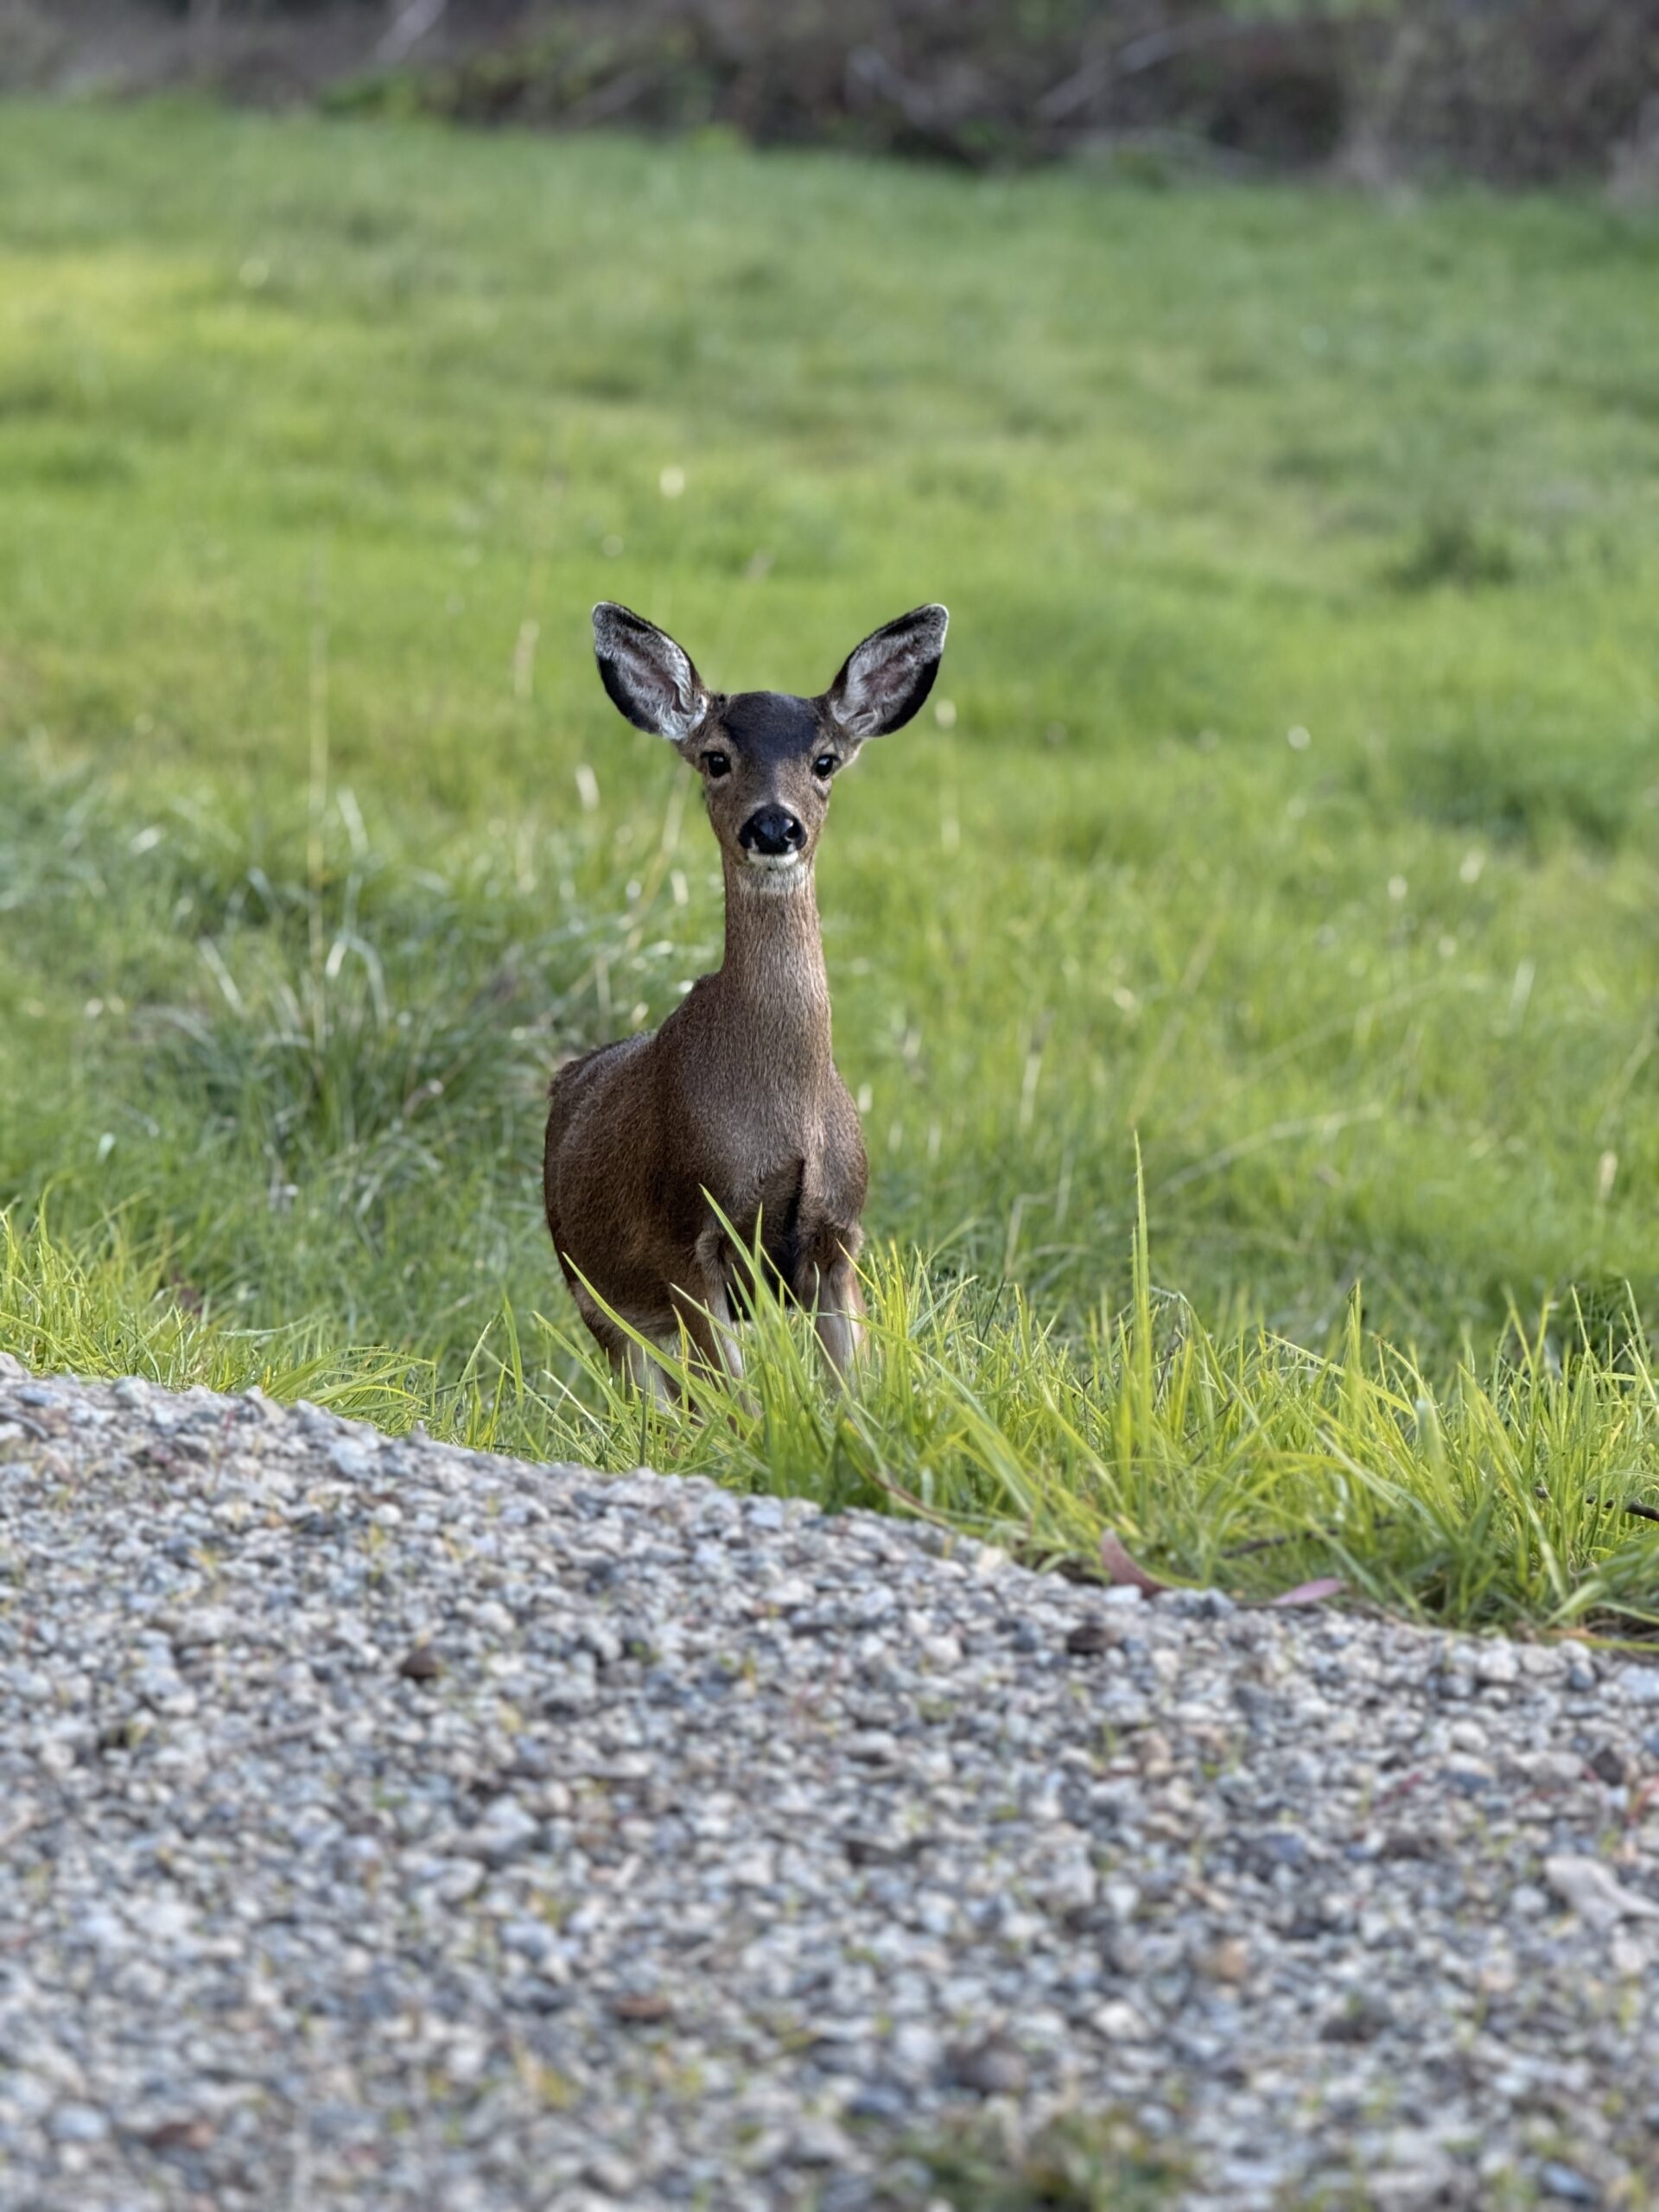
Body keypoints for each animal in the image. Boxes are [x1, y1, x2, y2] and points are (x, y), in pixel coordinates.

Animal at [544, 599, 949, 1398]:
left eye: (825, 760)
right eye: (715, 758)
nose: (773, 824)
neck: (784, 1112)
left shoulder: (838, 1236)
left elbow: (850, 1391)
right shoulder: (682, 1237)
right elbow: (741, 1403)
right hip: (594, 1292)